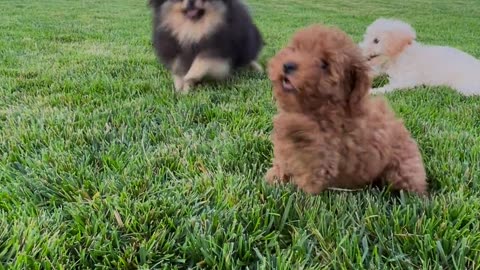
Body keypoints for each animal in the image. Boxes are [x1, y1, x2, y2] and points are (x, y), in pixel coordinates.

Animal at [266, 24, 428, 195]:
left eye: (324, 64)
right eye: (295, 49)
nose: (288, 65)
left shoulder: (320, 162)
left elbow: (306, 180)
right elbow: (282, 164)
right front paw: (274, 178)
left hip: (403, 170)